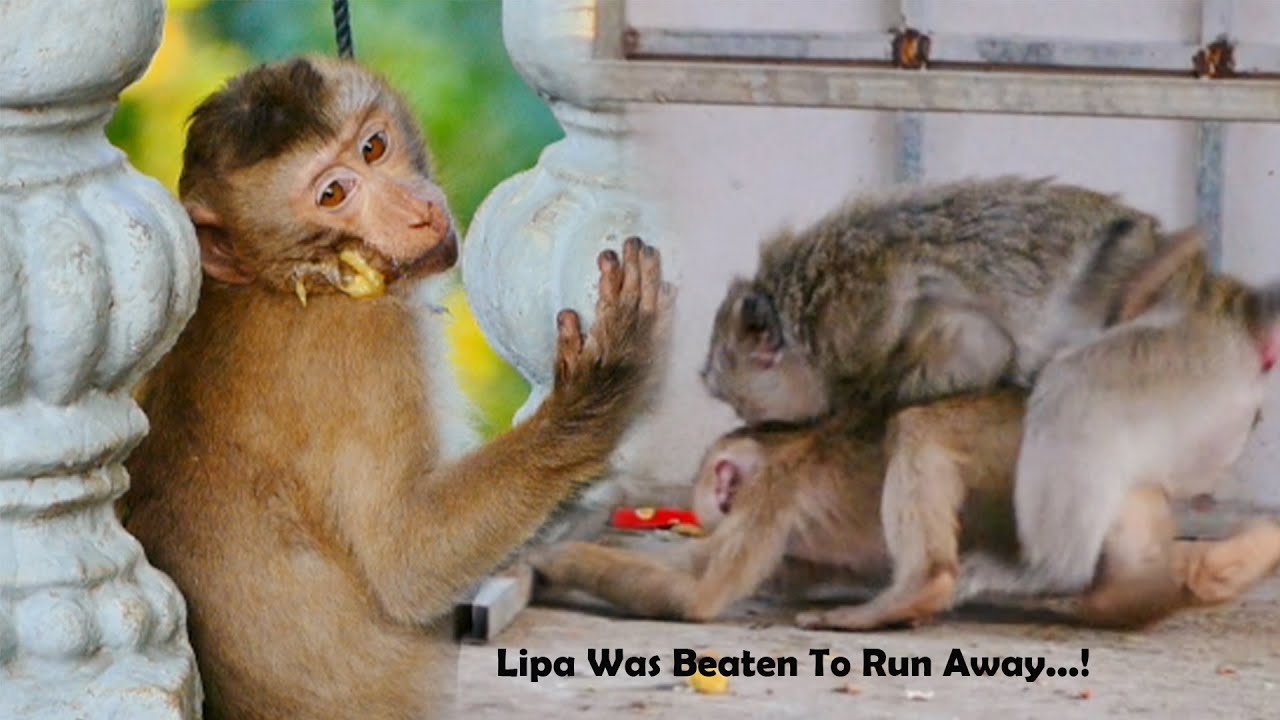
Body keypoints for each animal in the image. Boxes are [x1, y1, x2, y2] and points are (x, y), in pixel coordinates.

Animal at [120, 57, 672, 720]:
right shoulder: (368, 348)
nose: (414, 211)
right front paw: (601, 389)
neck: (285, 281)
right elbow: (406, 559)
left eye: (373, 147)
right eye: (333, 194)